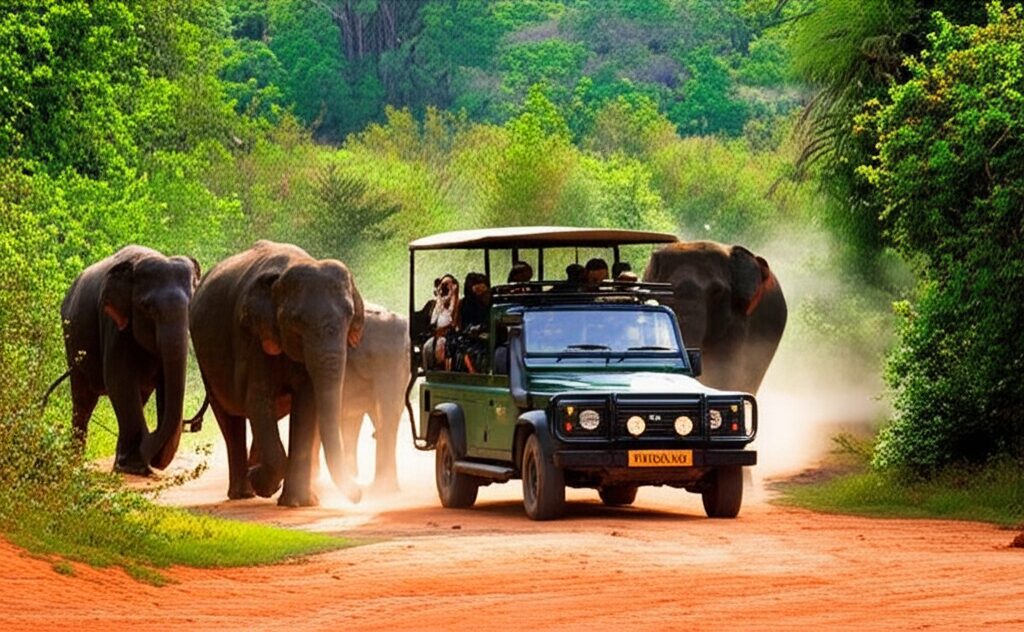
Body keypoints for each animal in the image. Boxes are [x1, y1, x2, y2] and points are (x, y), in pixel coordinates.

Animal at [59, 245, 200, 474]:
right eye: (147, 307)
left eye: (191, 307)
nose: (192, 424)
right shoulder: (114, 323)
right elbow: (119, 379)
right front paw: (133, 466)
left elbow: (163, 385)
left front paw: (130, 464)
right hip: (71, 341)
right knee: (83, 400)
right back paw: (76, 464)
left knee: (138, 398)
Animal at [189, 240, 365, 507]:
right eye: (296, 322)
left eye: (349, 316)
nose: (360, 494)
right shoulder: (252, 339)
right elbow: (257, 402)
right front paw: (261, 482)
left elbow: (306, 405)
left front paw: (298, 503)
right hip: (206, 361)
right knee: (230, 416)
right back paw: (243, 492)